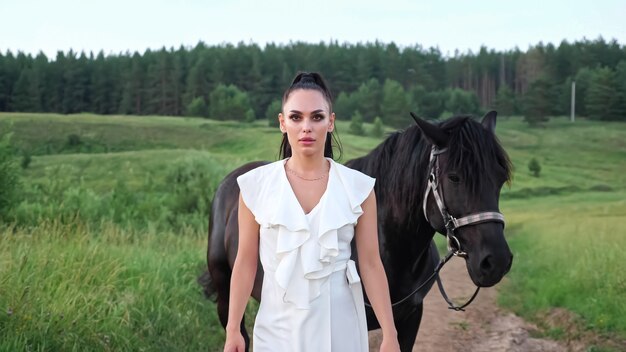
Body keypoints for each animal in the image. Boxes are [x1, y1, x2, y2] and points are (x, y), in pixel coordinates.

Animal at [200, 111, 512, 350]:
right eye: (454, 177)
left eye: (499, 178)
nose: (496, 262)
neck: (391, 248)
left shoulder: (410, 318)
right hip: (227, 297)